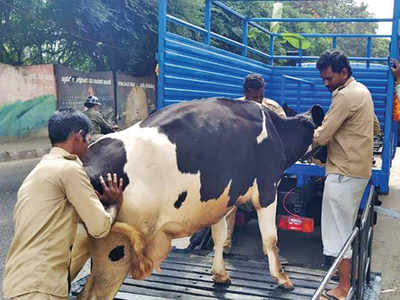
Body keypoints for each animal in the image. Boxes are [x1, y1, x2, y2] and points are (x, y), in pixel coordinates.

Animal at [76, 98, 324, 298]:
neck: (277, 131)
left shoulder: (222, 199)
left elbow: (220, 235)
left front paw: (220, 275)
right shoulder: (267, 189)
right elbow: (270, 239)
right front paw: (282, 279)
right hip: (117, 249)